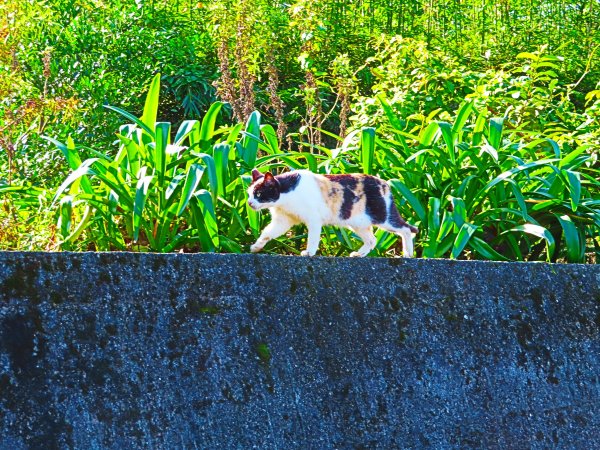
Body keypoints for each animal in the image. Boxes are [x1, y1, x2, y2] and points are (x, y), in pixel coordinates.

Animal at [247, 169, 418, 258]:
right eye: (249, 194)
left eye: (259, 194)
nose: (249, 203)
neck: (286, 198)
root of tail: (385, 183)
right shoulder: (283, 220)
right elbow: (267, 233)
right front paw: (256, 247)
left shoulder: (314, 219)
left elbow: (313, 238)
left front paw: (309, 252)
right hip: (358, 223)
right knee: (372, 240)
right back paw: (359, 254)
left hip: (383, 217)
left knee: (406, 229)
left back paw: (408, 253)